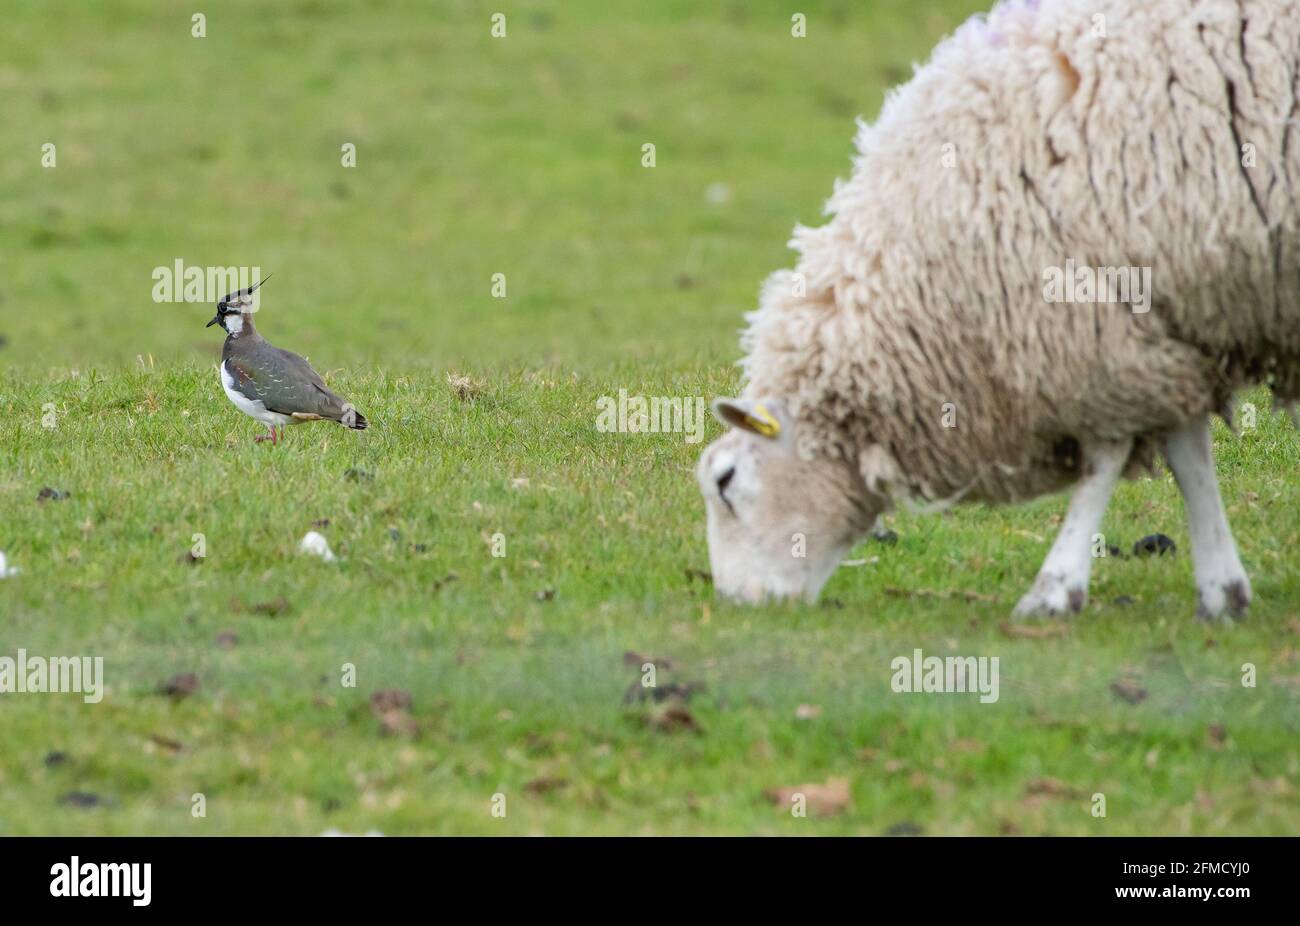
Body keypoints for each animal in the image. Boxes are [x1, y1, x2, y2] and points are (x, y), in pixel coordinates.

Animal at [702, 1, 1300, 621]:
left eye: (725, 482)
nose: (735, 601)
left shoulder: (1090, 329)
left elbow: (1105, 457)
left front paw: (1055, 589)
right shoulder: (1161, 325)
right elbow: (1188, 454)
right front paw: (1222, 590)